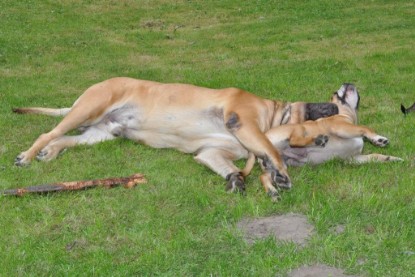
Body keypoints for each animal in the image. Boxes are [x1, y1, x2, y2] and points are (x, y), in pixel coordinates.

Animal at [242, 83, 404, 197]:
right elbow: (364, 128)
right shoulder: (341, 127)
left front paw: (391, 158)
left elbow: (375, 156)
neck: (344, 114)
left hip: (277, 164)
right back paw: (318, 141)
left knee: (264, 176)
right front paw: (378, 139)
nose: (346, 82)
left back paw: (274, 189)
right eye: (334, 94)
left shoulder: (353, 158)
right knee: (295, 140)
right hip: (297, 129)